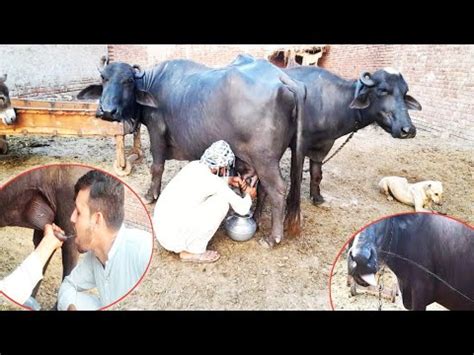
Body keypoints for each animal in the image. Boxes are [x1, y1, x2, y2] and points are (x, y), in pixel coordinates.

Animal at [78, 55, 308, 248]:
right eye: (104, 78)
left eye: (128, 81)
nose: (107, 111)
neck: (152, 85)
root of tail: (283, 78)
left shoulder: (156, 131)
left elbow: (157, 166)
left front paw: (151, 195)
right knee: (264, 188)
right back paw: (257, 219)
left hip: (264, 158)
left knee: (277, 189)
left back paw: (273, 238)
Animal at [284, 66, 420, 206]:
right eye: (383, 90)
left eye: (404, 93)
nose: (408, 130)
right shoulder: (298, 146)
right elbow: (296, 175)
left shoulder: (323, 145)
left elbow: (317, 174)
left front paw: (317, 198)